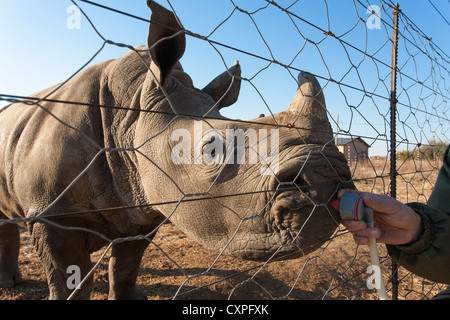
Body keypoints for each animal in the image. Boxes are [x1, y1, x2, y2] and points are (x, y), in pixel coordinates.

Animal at [0, 1, 352, 298]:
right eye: (212, 150)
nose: (327, 176)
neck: (129, 114)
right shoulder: (50, 213)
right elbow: (69, 280)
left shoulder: (142, 205)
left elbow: (126, 266)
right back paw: (10, 285)